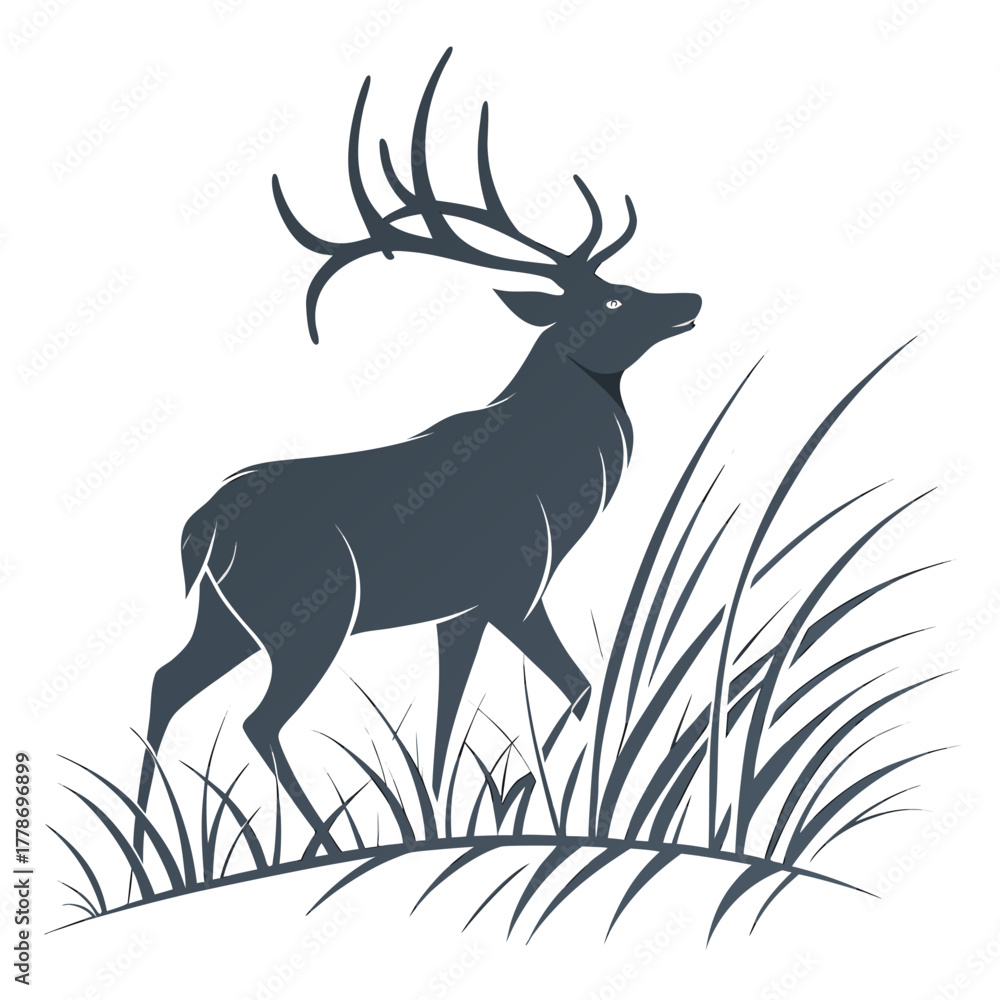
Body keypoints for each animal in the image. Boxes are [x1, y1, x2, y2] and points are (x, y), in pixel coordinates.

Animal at [132, 48, 701, 863]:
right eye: (617, 299)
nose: (690, 300)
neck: (561, 482)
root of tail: (204, 526)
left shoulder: (457, 611)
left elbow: (442, 724)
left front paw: (443, 823)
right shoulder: (515, 587)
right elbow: (579, 689)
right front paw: (536, 800)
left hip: (225, 615)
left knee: (166, 680)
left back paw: (147, 850)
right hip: (309, 617)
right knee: (257, 719)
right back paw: (322, 839)